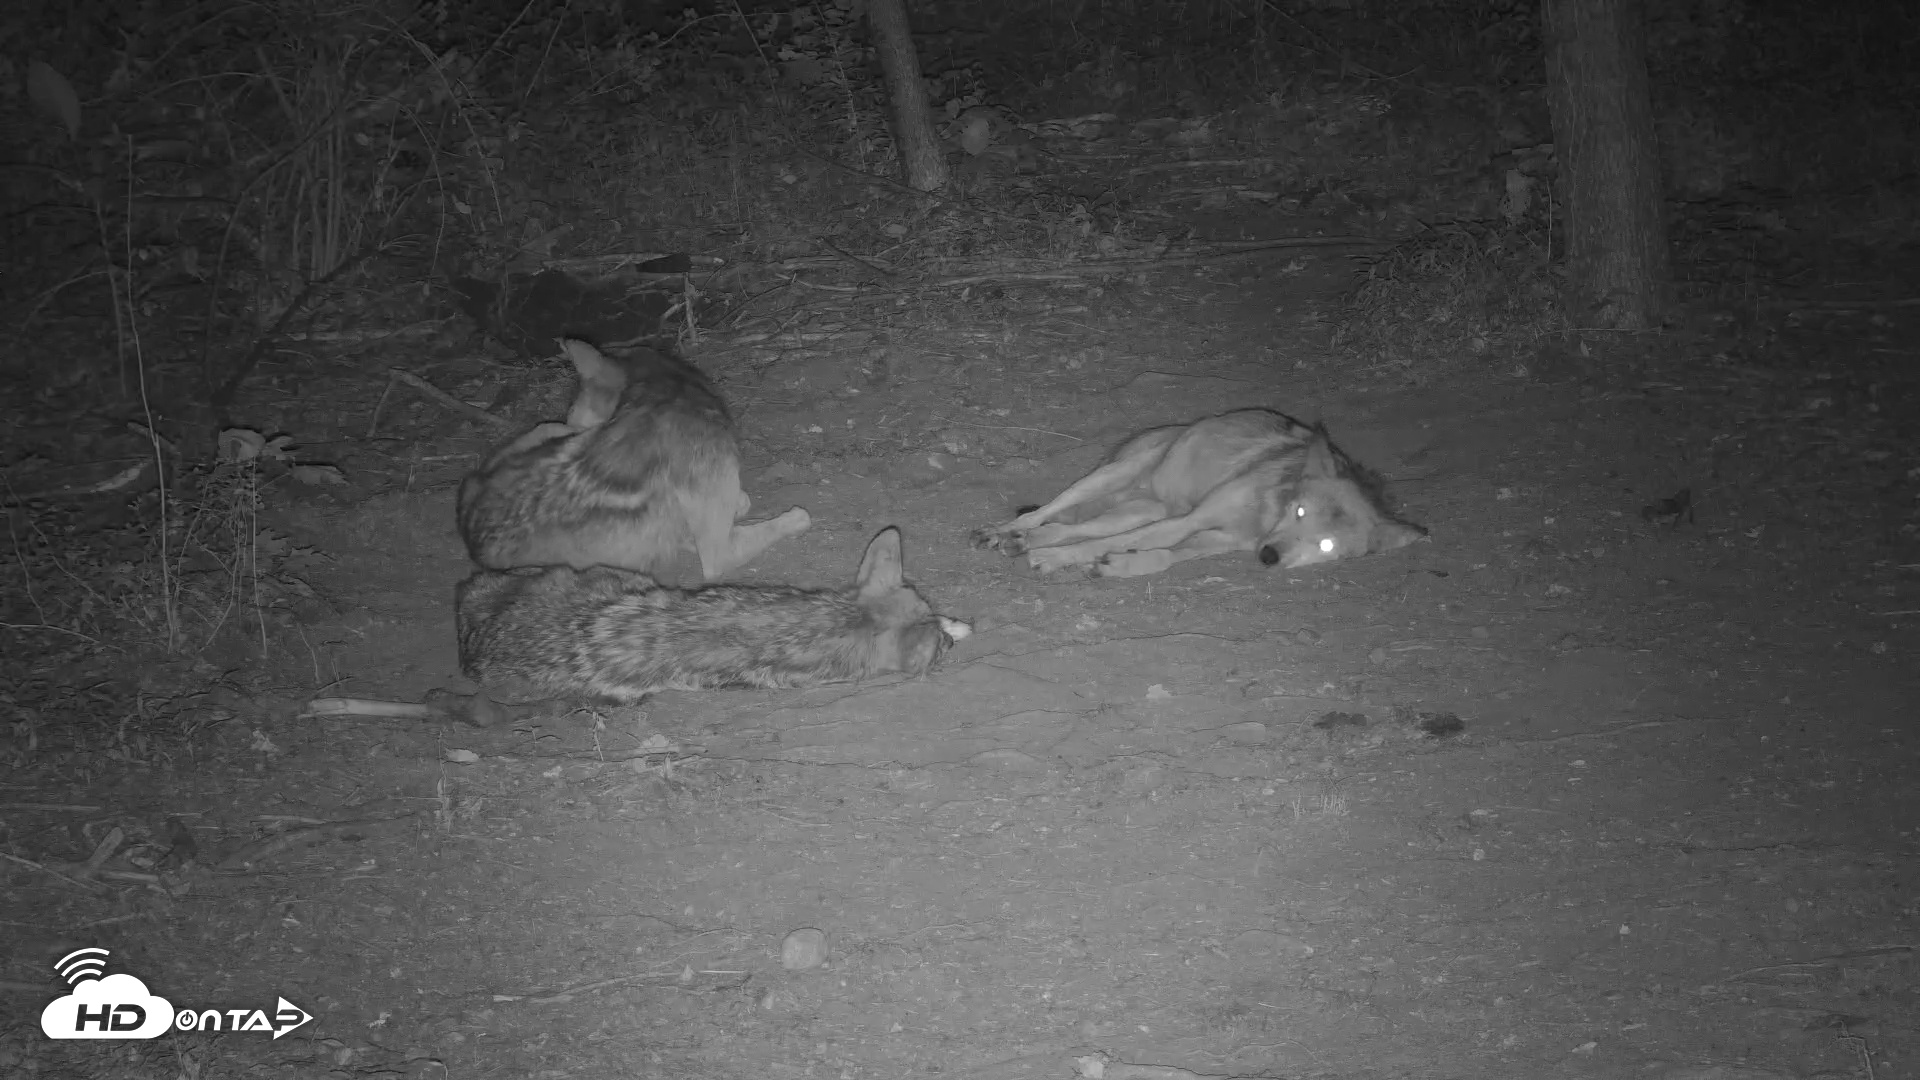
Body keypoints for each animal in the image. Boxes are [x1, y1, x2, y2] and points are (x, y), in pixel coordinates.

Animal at [456, 339, 811, 580]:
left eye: (574, 402)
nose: (571, 416)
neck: (665, 395)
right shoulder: (717, 552)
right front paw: (792, 518)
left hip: (550, 431)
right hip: (557, 429)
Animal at [970, 409, 1425, 578]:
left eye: (1326, 545)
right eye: (1298, 512)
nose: (1269, 557)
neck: (1264, 516)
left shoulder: (1217, 539)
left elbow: (1164, 557)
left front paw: (1120, 565)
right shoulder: (1191, 520)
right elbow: (1114, 545)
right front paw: (1056, 560)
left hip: (1137, 510)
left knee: (1065, 528)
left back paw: (1021, 542)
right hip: (1109, 478)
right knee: (1043, 512)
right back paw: (1000, 532)